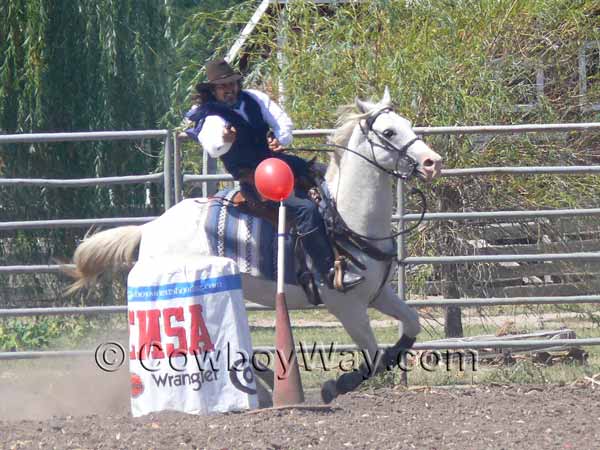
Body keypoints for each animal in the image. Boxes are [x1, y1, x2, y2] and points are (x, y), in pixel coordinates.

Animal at [69, 88, 440, 400]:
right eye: (389, 132)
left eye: (408, 124)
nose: (432, 162)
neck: (346, 218)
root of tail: (151, 228)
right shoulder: (346, 306)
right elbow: (373, 357)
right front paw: (334, 386)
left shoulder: (378, 294)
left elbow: (410, 326)